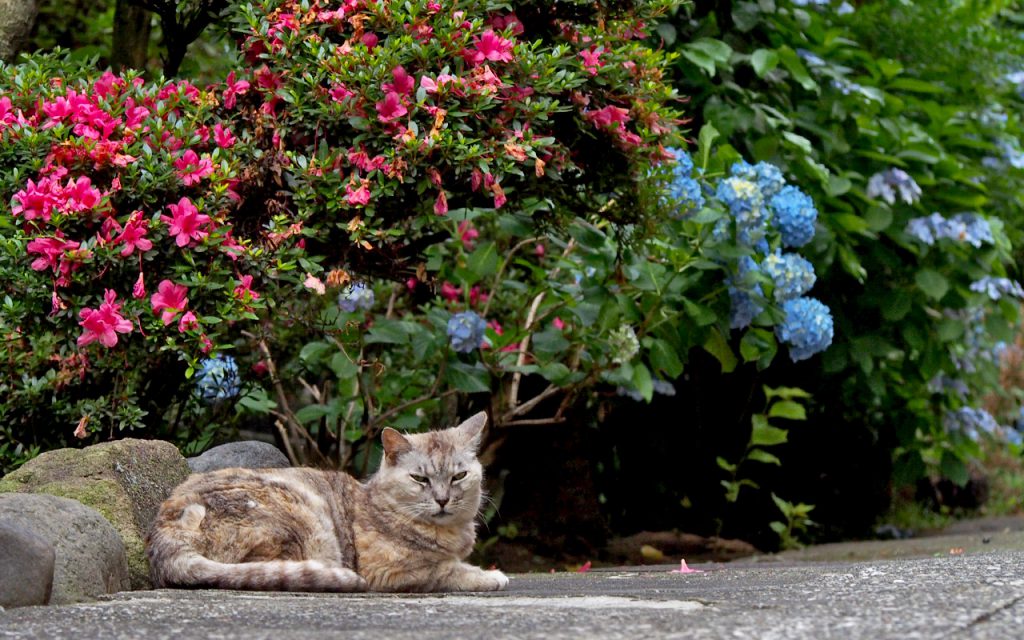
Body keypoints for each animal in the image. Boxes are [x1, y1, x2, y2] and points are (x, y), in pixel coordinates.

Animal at [145, 411, 507, 589]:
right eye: (420, 479)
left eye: (458, 476)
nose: (443, 499)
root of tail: (164, 534)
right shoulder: (390, 572)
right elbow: (448, 570)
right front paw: (491, 576)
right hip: (302, 515)